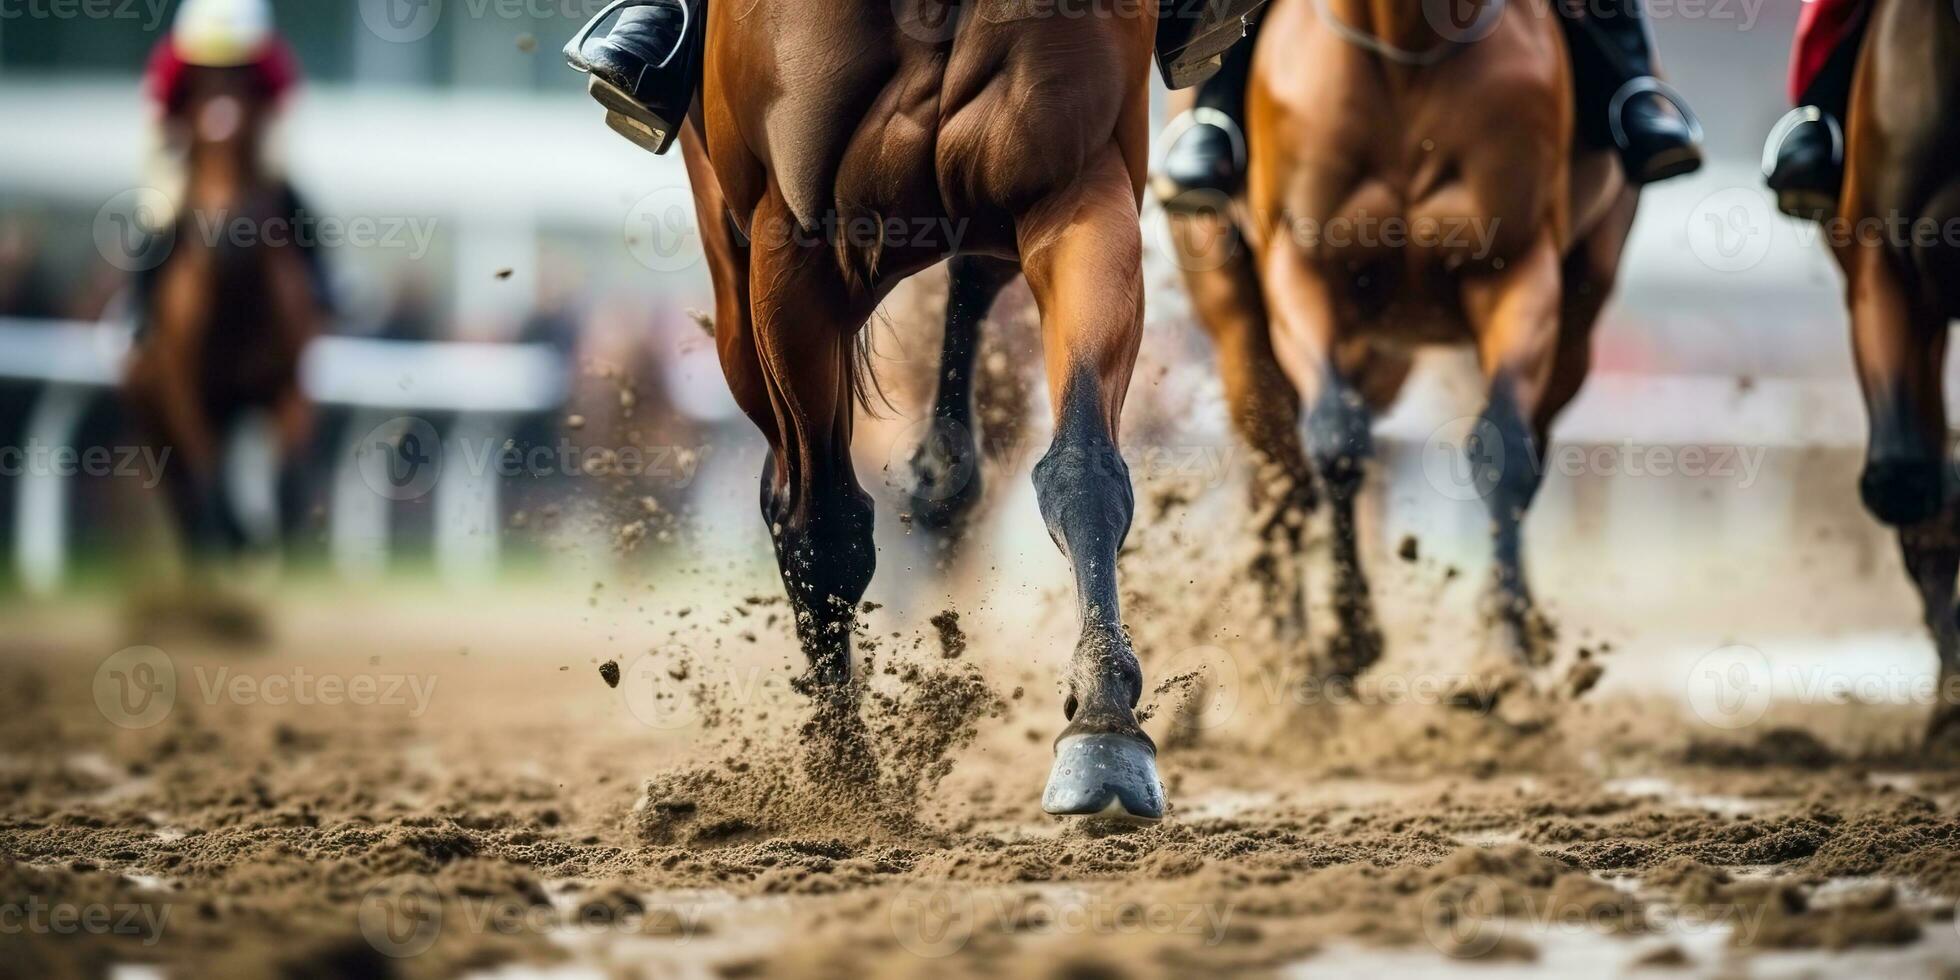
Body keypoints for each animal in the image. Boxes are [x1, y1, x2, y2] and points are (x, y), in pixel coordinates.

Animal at [126, 63, 321, 568]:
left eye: (248, 137)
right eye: (196, 144)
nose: (231, 234)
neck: (237, 309)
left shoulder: (291, 379)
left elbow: (290, 468)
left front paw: (282, 536)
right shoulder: (183, 387)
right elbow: (207, 466)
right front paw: (232, 538)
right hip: (149, 411)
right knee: (180, 485)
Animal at [678, 0, 1160, 815]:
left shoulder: (1076, 183)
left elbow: (1083, 470)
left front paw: (1104, 725)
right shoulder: (795, 247)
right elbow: (825, 530)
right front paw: (847, 782)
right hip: (731, 258)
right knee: (786, 488)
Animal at [1160, 0, 1638, 674]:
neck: (1405, 50)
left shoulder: (1518, 268)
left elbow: (1504, 450)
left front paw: (1503, 654)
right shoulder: (1301, 264)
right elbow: (1337, 440)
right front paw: (1350, 637)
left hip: (1570, 310)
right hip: (1235, 316)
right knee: (1279, 481)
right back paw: (1284, 652)